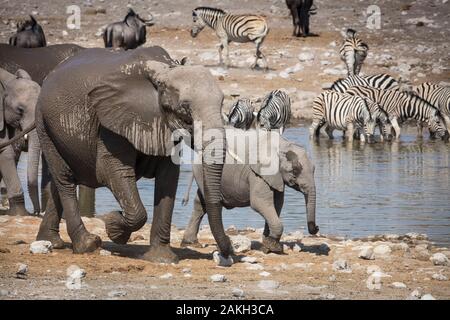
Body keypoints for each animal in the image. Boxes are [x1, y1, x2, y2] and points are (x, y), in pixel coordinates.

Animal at [31, 47, 230, 262]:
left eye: (223, 103)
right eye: (185, 108)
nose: (226, 250)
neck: (165, 70)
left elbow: (168, 178)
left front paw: (162, 259)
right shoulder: (111, 121)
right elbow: (112, 172)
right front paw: (113, 226)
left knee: (57, 182)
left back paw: (50, 242)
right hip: (44, 122)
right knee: (65, 179)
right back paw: (87, 245)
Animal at [181, 131, 318, 254]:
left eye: (314, 169)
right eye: (295, 171)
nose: (316, 228)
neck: (283, 144)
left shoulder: (276, 177)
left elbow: (277, 204)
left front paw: (266, 246)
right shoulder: (258, 174)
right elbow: (259, 203)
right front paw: (274, 247)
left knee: (200, 204)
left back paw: (190, 243)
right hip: (202, 172)